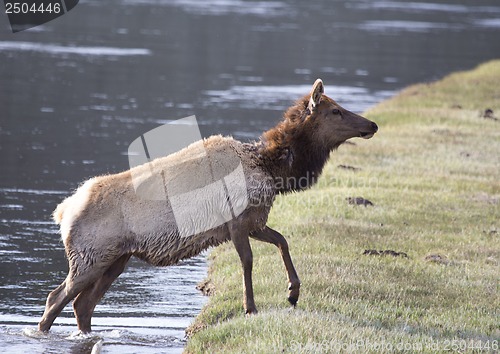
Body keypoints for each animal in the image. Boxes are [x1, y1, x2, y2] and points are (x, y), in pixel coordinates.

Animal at [38, 79, 376, 332]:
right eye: (335, 110)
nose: (372, 124)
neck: (272, 171)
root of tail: (63, 211)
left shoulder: (254, 220)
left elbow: (282, 240)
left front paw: (293, 292)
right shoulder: (237, 221)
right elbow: (248, 260)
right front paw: (250, 307)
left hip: (115, 259)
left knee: (82, 305)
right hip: (90, 256)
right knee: (55, 299)